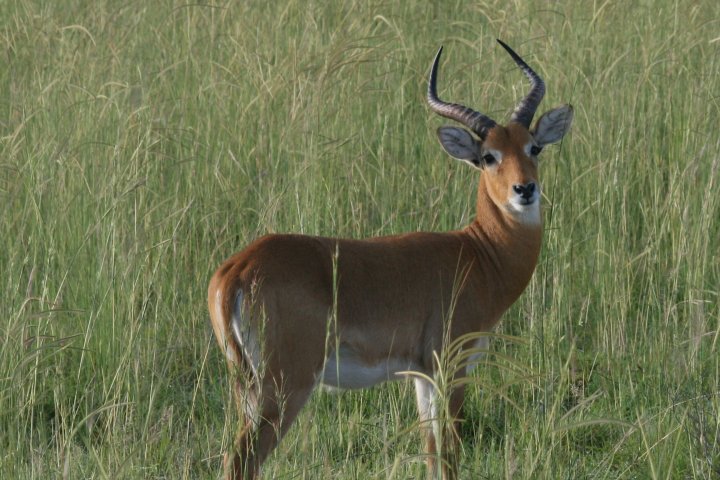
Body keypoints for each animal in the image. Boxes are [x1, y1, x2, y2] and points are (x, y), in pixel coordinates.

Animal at [208, 39, 573, 479]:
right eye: (488, 156)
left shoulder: (422, 376)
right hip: (286, 386)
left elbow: (432, 452)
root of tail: (238, 269)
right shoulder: (452, 368)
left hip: (248, 385)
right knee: (240, 459)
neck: (479, 253)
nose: (525, 189)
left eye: (533, 147)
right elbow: (450, 453)